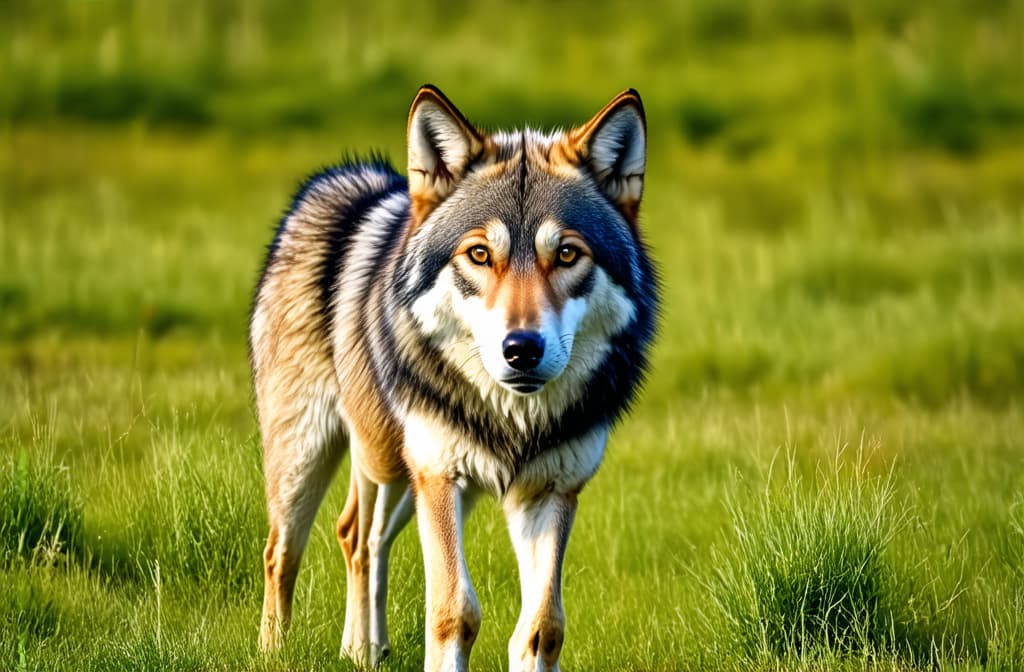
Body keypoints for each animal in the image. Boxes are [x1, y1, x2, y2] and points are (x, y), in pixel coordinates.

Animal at [251, 85, 659, 672]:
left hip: (398, 477)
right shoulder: (441, 476)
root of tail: (352, 179)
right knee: (288, 549)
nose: (521, 349)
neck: (511, 421)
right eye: (480, 254)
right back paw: (277, 652)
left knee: (361, 535)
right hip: (333, 460)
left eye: (566, 254)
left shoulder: (551, 491)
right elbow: (453, 613)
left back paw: (365, 650)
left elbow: (542, 627)